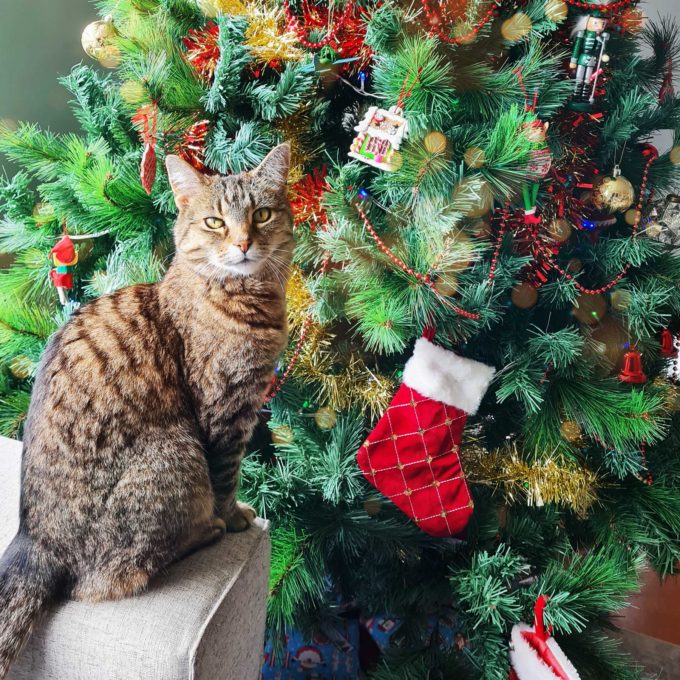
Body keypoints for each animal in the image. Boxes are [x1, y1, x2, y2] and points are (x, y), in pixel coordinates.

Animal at [0, 142, 292, 676]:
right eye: (215, 222)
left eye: (261, 215)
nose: (243, 243)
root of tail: (36, 541)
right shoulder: (225, 411)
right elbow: (228, 475)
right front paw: (235, 515)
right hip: (176, 452)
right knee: (109, 581)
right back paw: (207, 529)